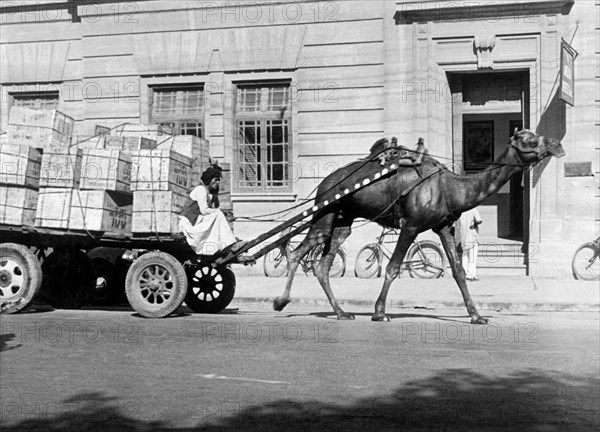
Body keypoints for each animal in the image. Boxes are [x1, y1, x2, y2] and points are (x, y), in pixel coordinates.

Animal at [274, 130, 564, 322]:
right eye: (530, 139)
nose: (558, 145)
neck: (451, 188)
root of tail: (322, 185)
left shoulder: (443, 227)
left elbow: (458, 272)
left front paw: (477, 316)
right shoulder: (411, 225)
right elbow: (392, 268)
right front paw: (379, 312)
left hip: (343, 220)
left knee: (323, 263)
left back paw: (342, 313)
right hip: (325, 213)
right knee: (299, 252)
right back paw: (280, 302)